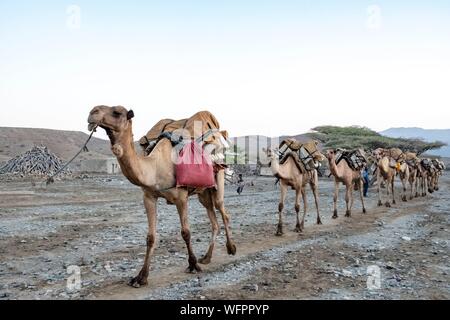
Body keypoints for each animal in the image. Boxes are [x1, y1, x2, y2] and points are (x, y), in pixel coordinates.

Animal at [85, 105, 237, 288]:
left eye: (117, 112)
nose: (92, 113)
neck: (155, 167)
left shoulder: (181, 198)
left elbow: (186, 232)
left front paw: (193, 265)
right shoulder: (149, 197)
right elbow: (150, 237)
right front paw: (141, 277)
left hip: (218, 178)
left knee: (223, 211)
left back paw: (231, 248)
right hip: (203, 192)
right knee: (213, 220)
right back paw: (207, 257)